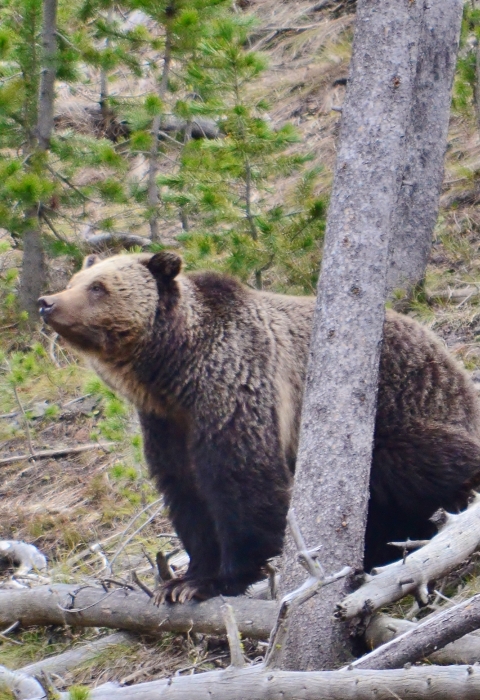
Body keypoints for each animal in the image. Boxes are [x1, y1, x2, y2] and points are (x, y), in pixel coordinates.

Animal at [38, 251, 480, 602]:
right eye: (75, 280)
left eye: (98, 287)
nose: (47, 302)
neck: (174, 373)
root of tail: (445, 353)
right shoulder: (168, 424)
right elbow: (186, 492)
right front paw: (181, 581)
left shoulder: (236, 386)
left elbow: (242, 480)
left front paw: (219, 580)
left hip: (401, 404)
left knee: (420, 459)